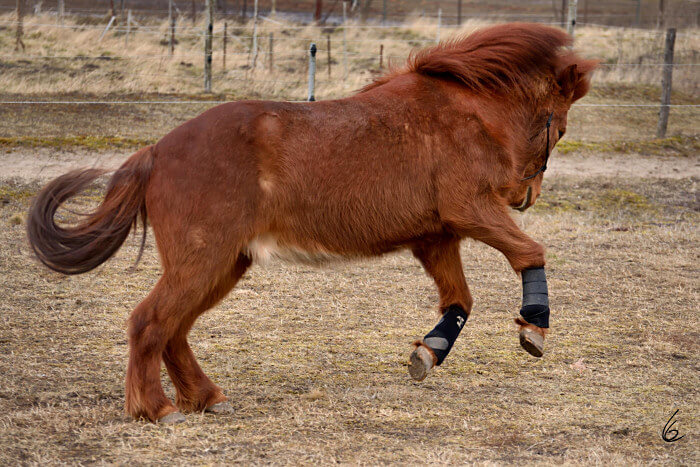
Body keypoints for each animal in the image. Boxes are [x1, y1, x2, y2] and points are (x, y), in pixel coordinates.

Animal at [27, 22, 596, 424]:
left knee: (175, 330)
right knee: (150, 322)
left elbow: (460, 301)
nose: (525, 197)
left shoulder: (436, 238)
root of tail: (156, 152)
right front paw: (535, 326)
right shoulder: (471, 211)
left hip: (223, 266)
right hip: (203, 261)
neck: (461, 114)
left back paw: (206, 398)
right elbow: (530, 252)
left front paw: (428, 352)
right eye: (561, 128)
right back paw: (157, 408)